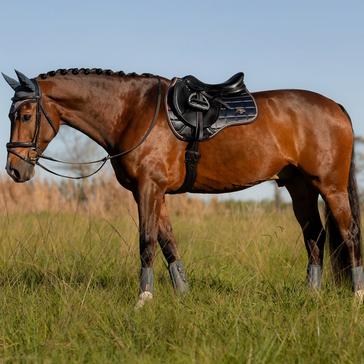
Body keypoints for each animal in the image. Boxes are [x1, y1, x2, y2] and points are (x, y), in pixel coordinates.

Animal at [2, 68, 364, 308]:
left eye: (26, 114)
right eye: (11, 114)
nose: (14, 170)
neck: (132, 111)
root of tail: (336, 107)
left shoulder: (148, 189)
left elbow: (147, 242)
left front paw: (143, 300)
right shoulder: (154, 193)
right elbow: (168, 243)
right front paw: (182, 295)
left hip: (330, 187)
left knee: (349, 234)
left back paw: (356, 296)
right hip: (300, 188)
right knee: (314, 235)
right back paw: (311, 294)